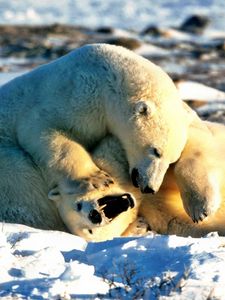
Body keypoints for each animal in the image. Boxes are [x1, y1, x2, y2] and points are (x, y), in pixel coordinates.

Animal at [0, 44, 192, 227]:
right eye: (156, 151)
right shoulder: (70, 98)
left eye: (172, 160)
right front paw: (98, 178)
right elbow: (43, 131)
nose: (150, 188)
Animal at [49, 118, 225, 240]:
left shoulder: (120, 151)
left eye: (77, 205)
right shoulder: (157, 211)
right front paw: (138, 227)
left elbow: (192, 145)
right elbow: (184, 223)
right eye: (89, 231)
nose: (95, 215)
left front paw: (200, 208)